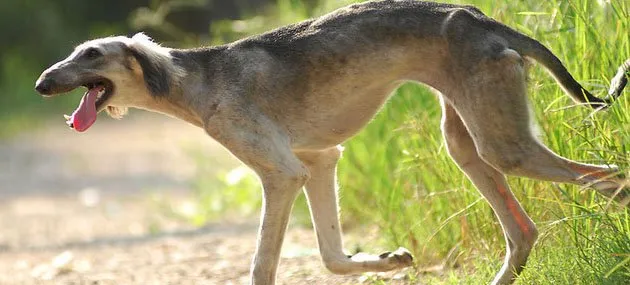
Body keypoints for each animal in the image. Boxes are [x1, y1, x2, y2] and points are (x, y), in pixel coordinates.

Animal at [35, 1, 630, 282]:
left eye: (92, 54)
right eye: (74, 52)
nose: (42, 83)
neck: (194, 78)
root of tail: (484, 19)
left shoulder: (282, 174)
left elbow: (263, 265)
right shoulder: (319, 162)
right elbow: (330, 255)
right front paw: (389, 260)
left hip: (502, 145)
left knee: (613, 179)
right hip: (467, 142)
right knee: (523, 231)